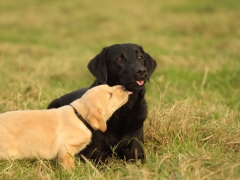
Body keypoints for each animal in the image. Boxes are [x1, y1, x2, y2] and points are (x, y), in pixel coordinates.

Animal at [0, 85, 131, 171]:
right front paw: (72, 173)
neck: (79, 116)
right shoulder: (66, 149)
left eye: (109, 86)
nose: (124, 87)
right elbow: (69, 166)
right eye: (110, 95)